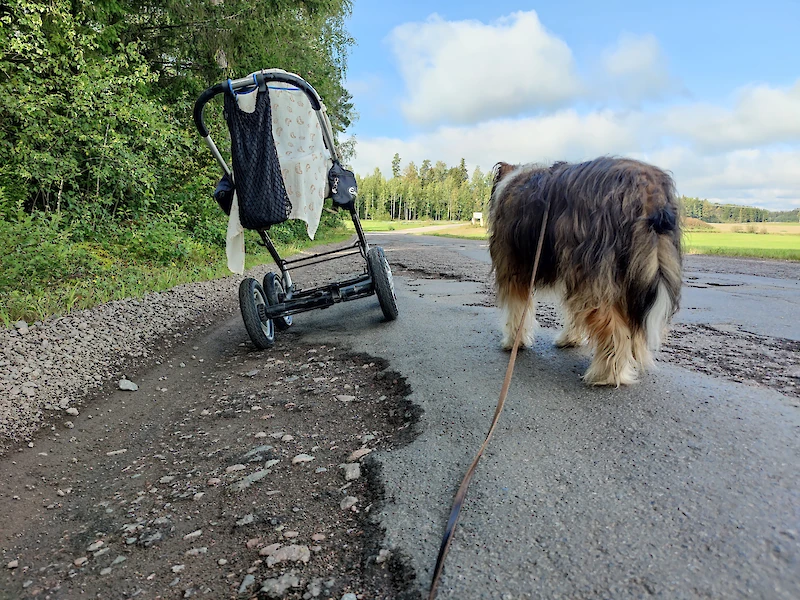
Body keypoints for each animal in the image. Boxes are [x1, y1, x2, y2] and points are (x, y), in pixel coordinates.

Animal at [488, 157, 680, 386]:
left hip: (592, 273)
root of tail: (645, 187)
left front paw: (513, 342)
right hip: (633, 272)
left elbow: (517, 309)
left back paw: (607, 374)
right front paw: (570, 339)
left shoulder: (513, 266)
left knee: (614, 328)